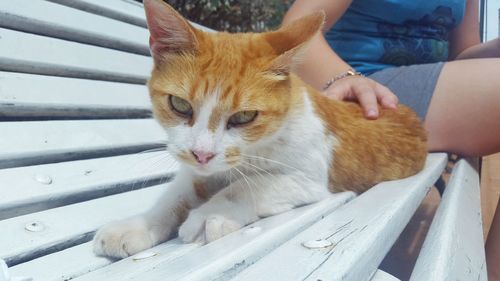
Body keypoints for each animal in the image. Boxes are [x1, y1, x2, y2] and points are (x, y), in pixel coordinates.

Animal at [93, 0, 426, 258]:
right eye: (180, 104)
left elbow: (249, 187)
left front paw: (209, 215)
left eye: (244, 117)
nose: (202, 154)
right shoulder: (195, 170)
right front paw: (137, 225)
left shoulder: (309, 178)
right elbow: (174, 196)